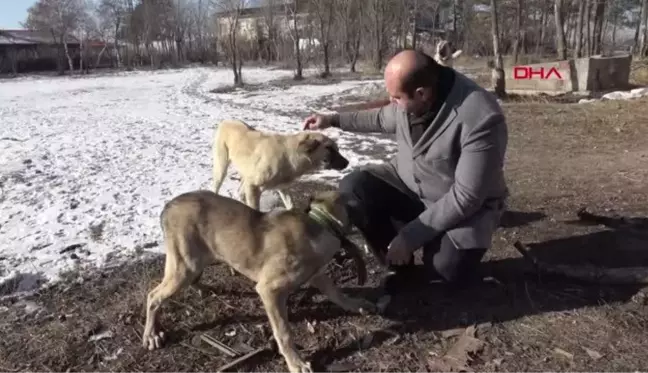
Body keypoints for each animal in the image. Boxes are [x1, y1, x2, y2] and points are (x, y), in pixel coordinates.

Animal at [142, 189, 374, 372]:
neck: (320, 223)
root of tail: (168, 207)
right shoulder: (269, 290)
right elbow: (284, 332)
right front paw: (296, 363)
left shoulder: (317, 275)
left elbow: (337, 293)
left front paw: (356, 305)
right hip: (184, 266)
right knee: (153, 296)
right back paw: (151, 334)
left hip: (195, 262)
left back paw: (202, 290)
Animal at [213, 120, 350, 211]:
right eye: (329, 148)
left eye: (337, 149)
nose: (347, 163)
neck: (289, 154)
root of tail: (226, 121)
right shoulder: (253, 186)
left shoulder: (283, 188)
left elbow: (291, 206)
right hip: (221, 168)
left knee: (240, 193)